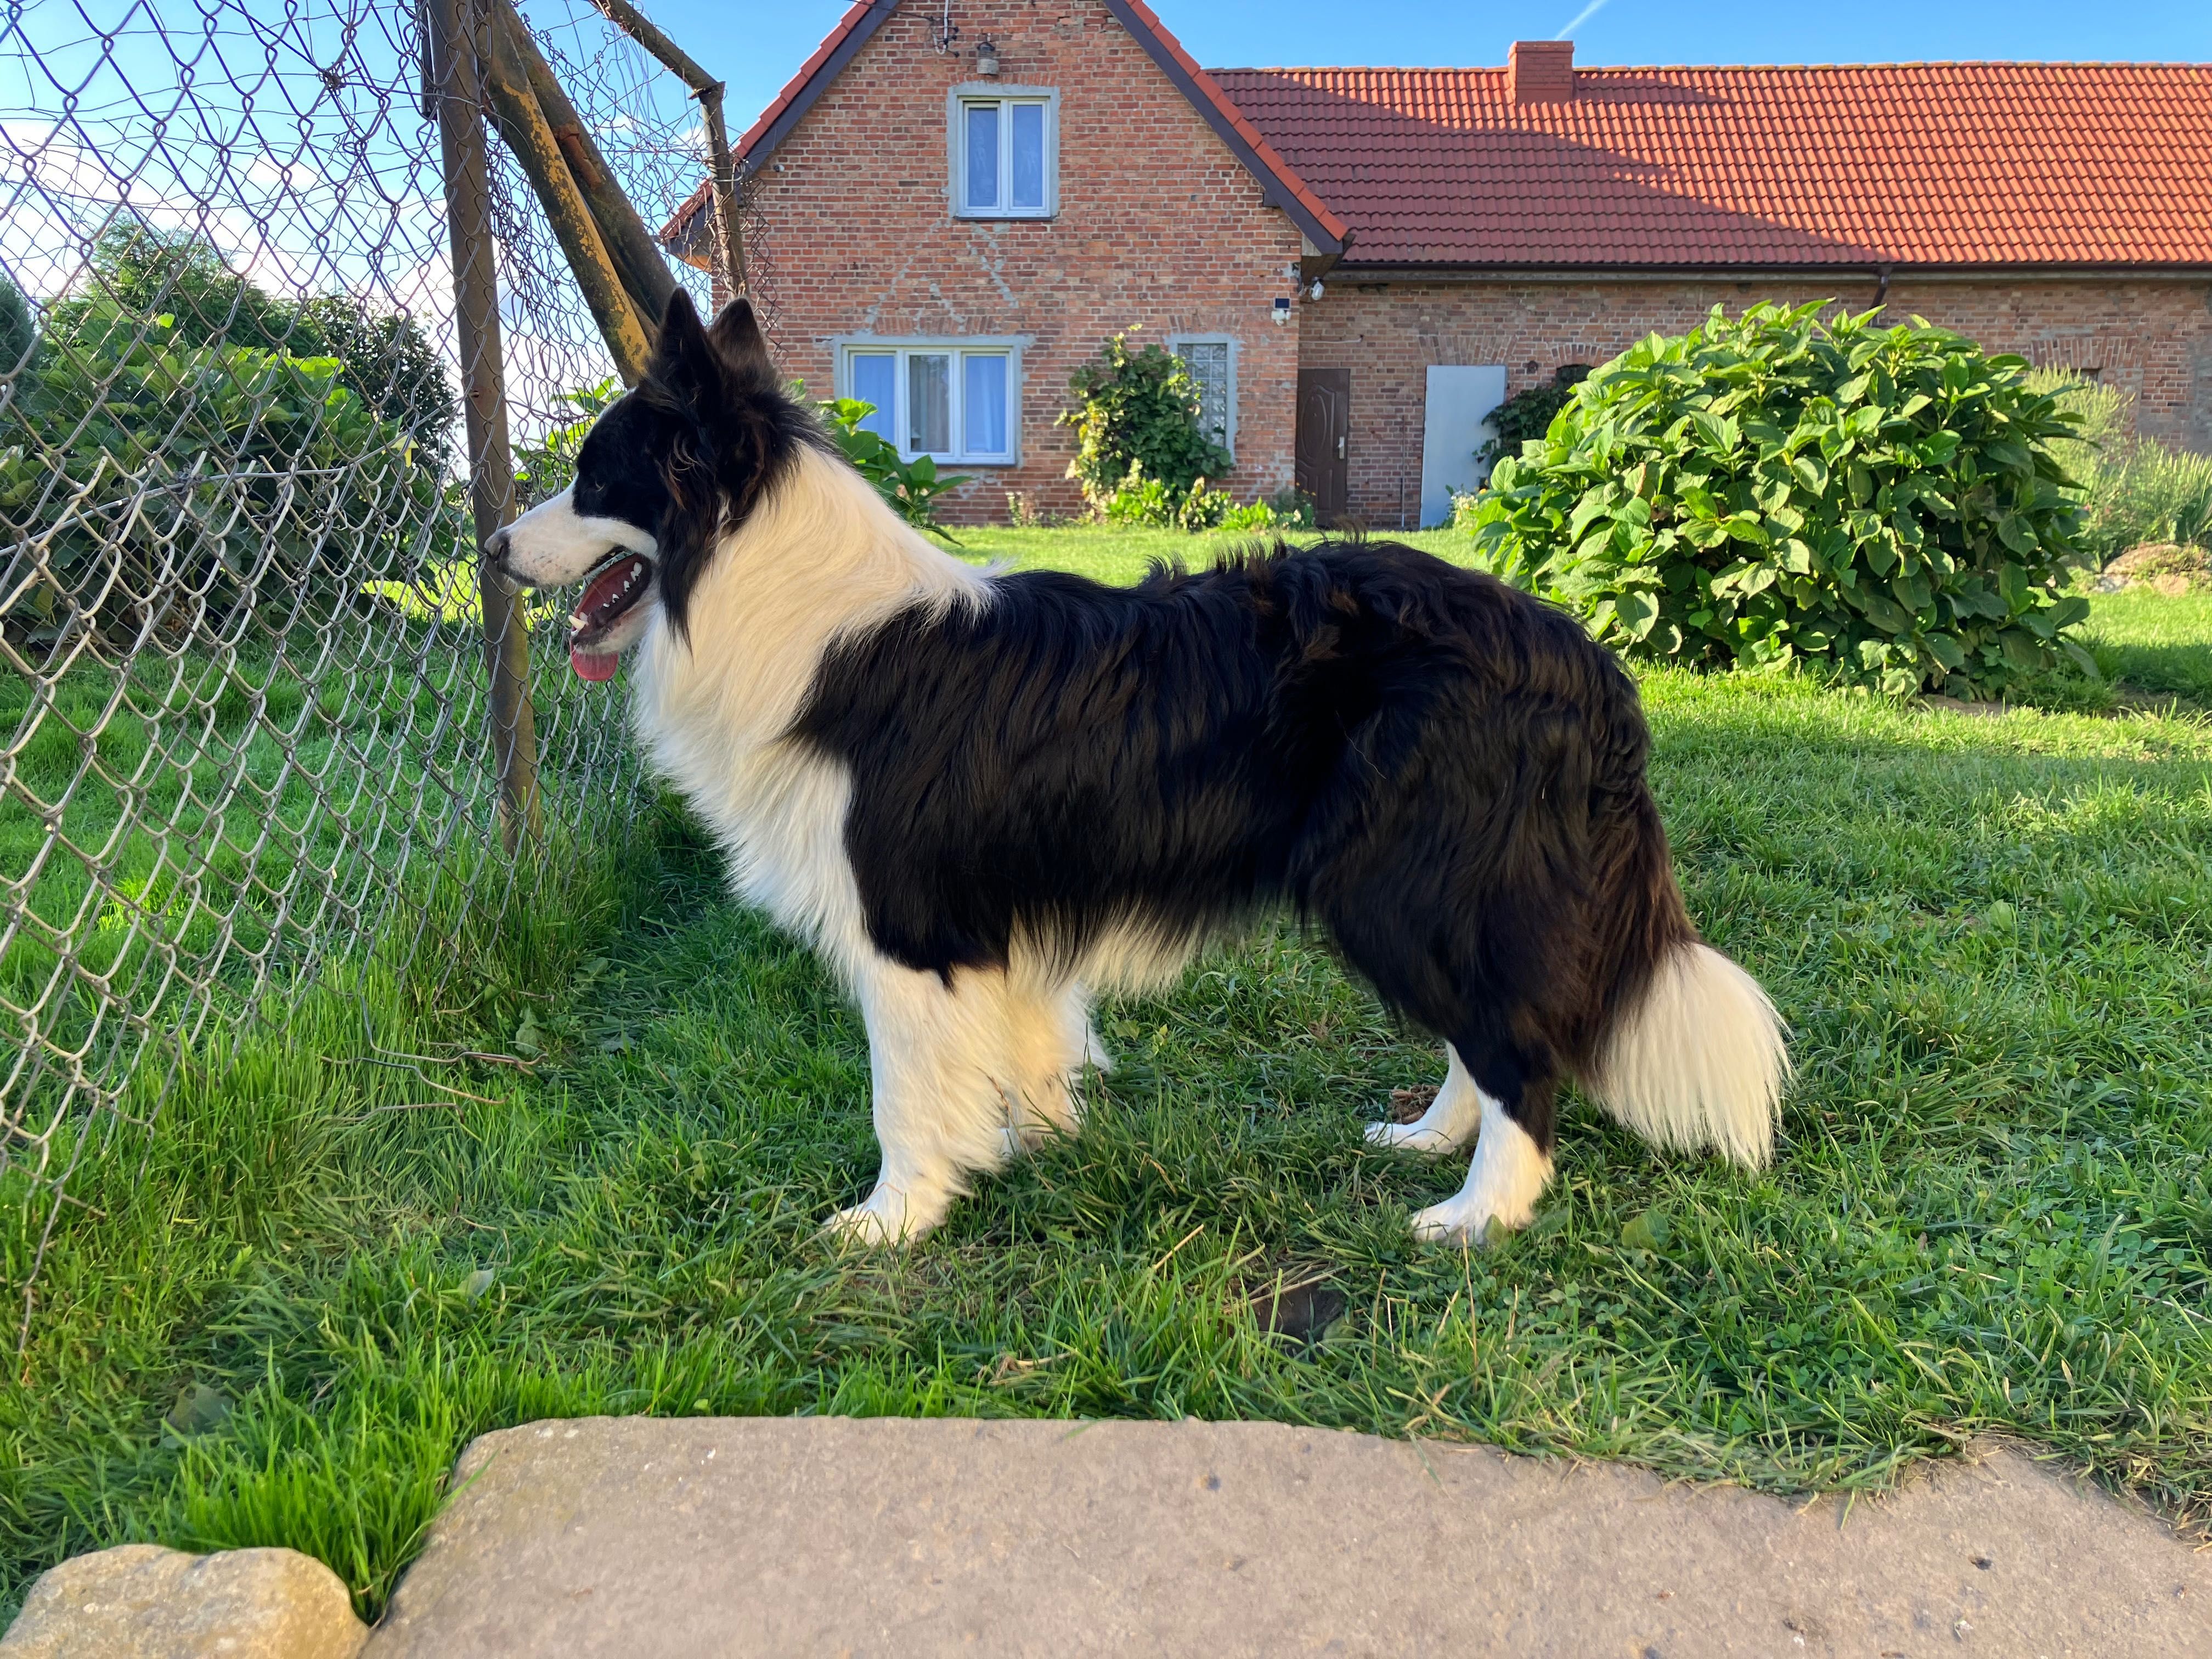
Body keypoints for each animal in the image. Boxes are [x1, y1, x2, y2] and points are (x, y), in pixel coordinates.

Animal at [493, 296, 1787, 1248]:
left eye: (596, 480)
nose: (493, 545)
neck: (766, 586)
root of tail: (1587, 655)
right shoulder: (1001, 916)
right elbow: (1025, 1044)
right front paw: (1040, 1142)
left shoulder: (905, 921)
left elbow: (900, 1090)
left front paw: (892, 1220)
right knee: (1484, 1024)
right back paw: (1428, 1139)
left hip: (1402, 877)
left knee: (1518, 1044)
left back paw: (1477, 1212)